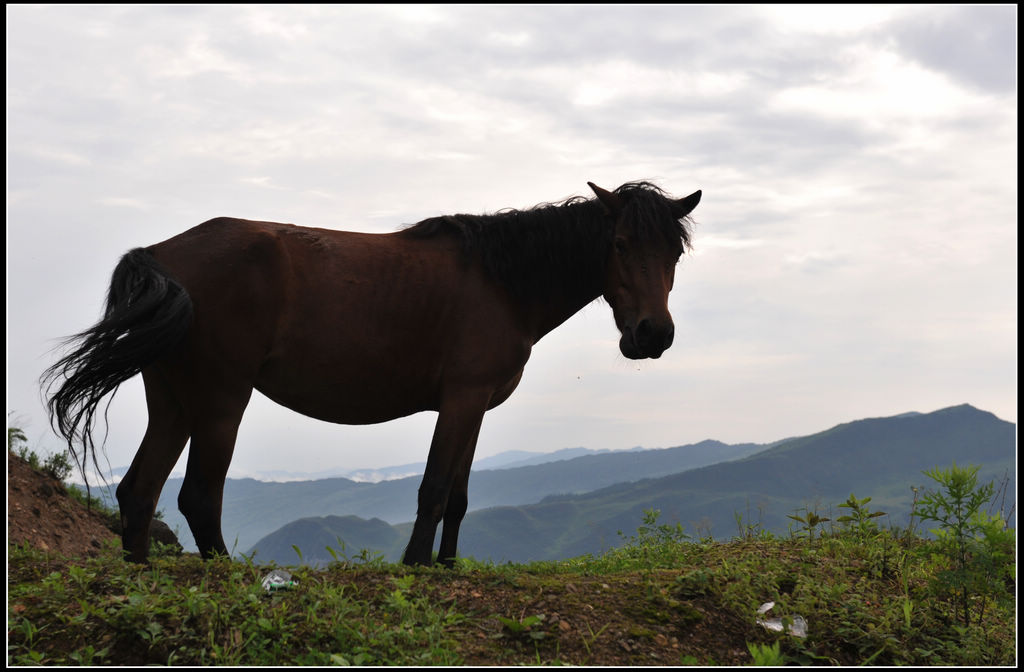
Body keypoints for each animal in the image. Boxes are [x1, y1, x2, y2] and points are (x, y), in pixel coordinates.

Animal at [41, 180, 696, 565]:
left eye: (675, 252)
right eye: (620, 243)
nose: (652, 335)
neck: (502, 282)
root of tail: (163, 253)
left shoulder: (476, 406)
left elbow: (458, 497)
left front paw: (447, 567)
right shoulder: (460, 400)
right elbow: (433, 490)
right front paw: (416, 568)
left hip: (175, 400)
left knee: (138, 491)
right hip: (222, 400)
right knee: (198, 497)